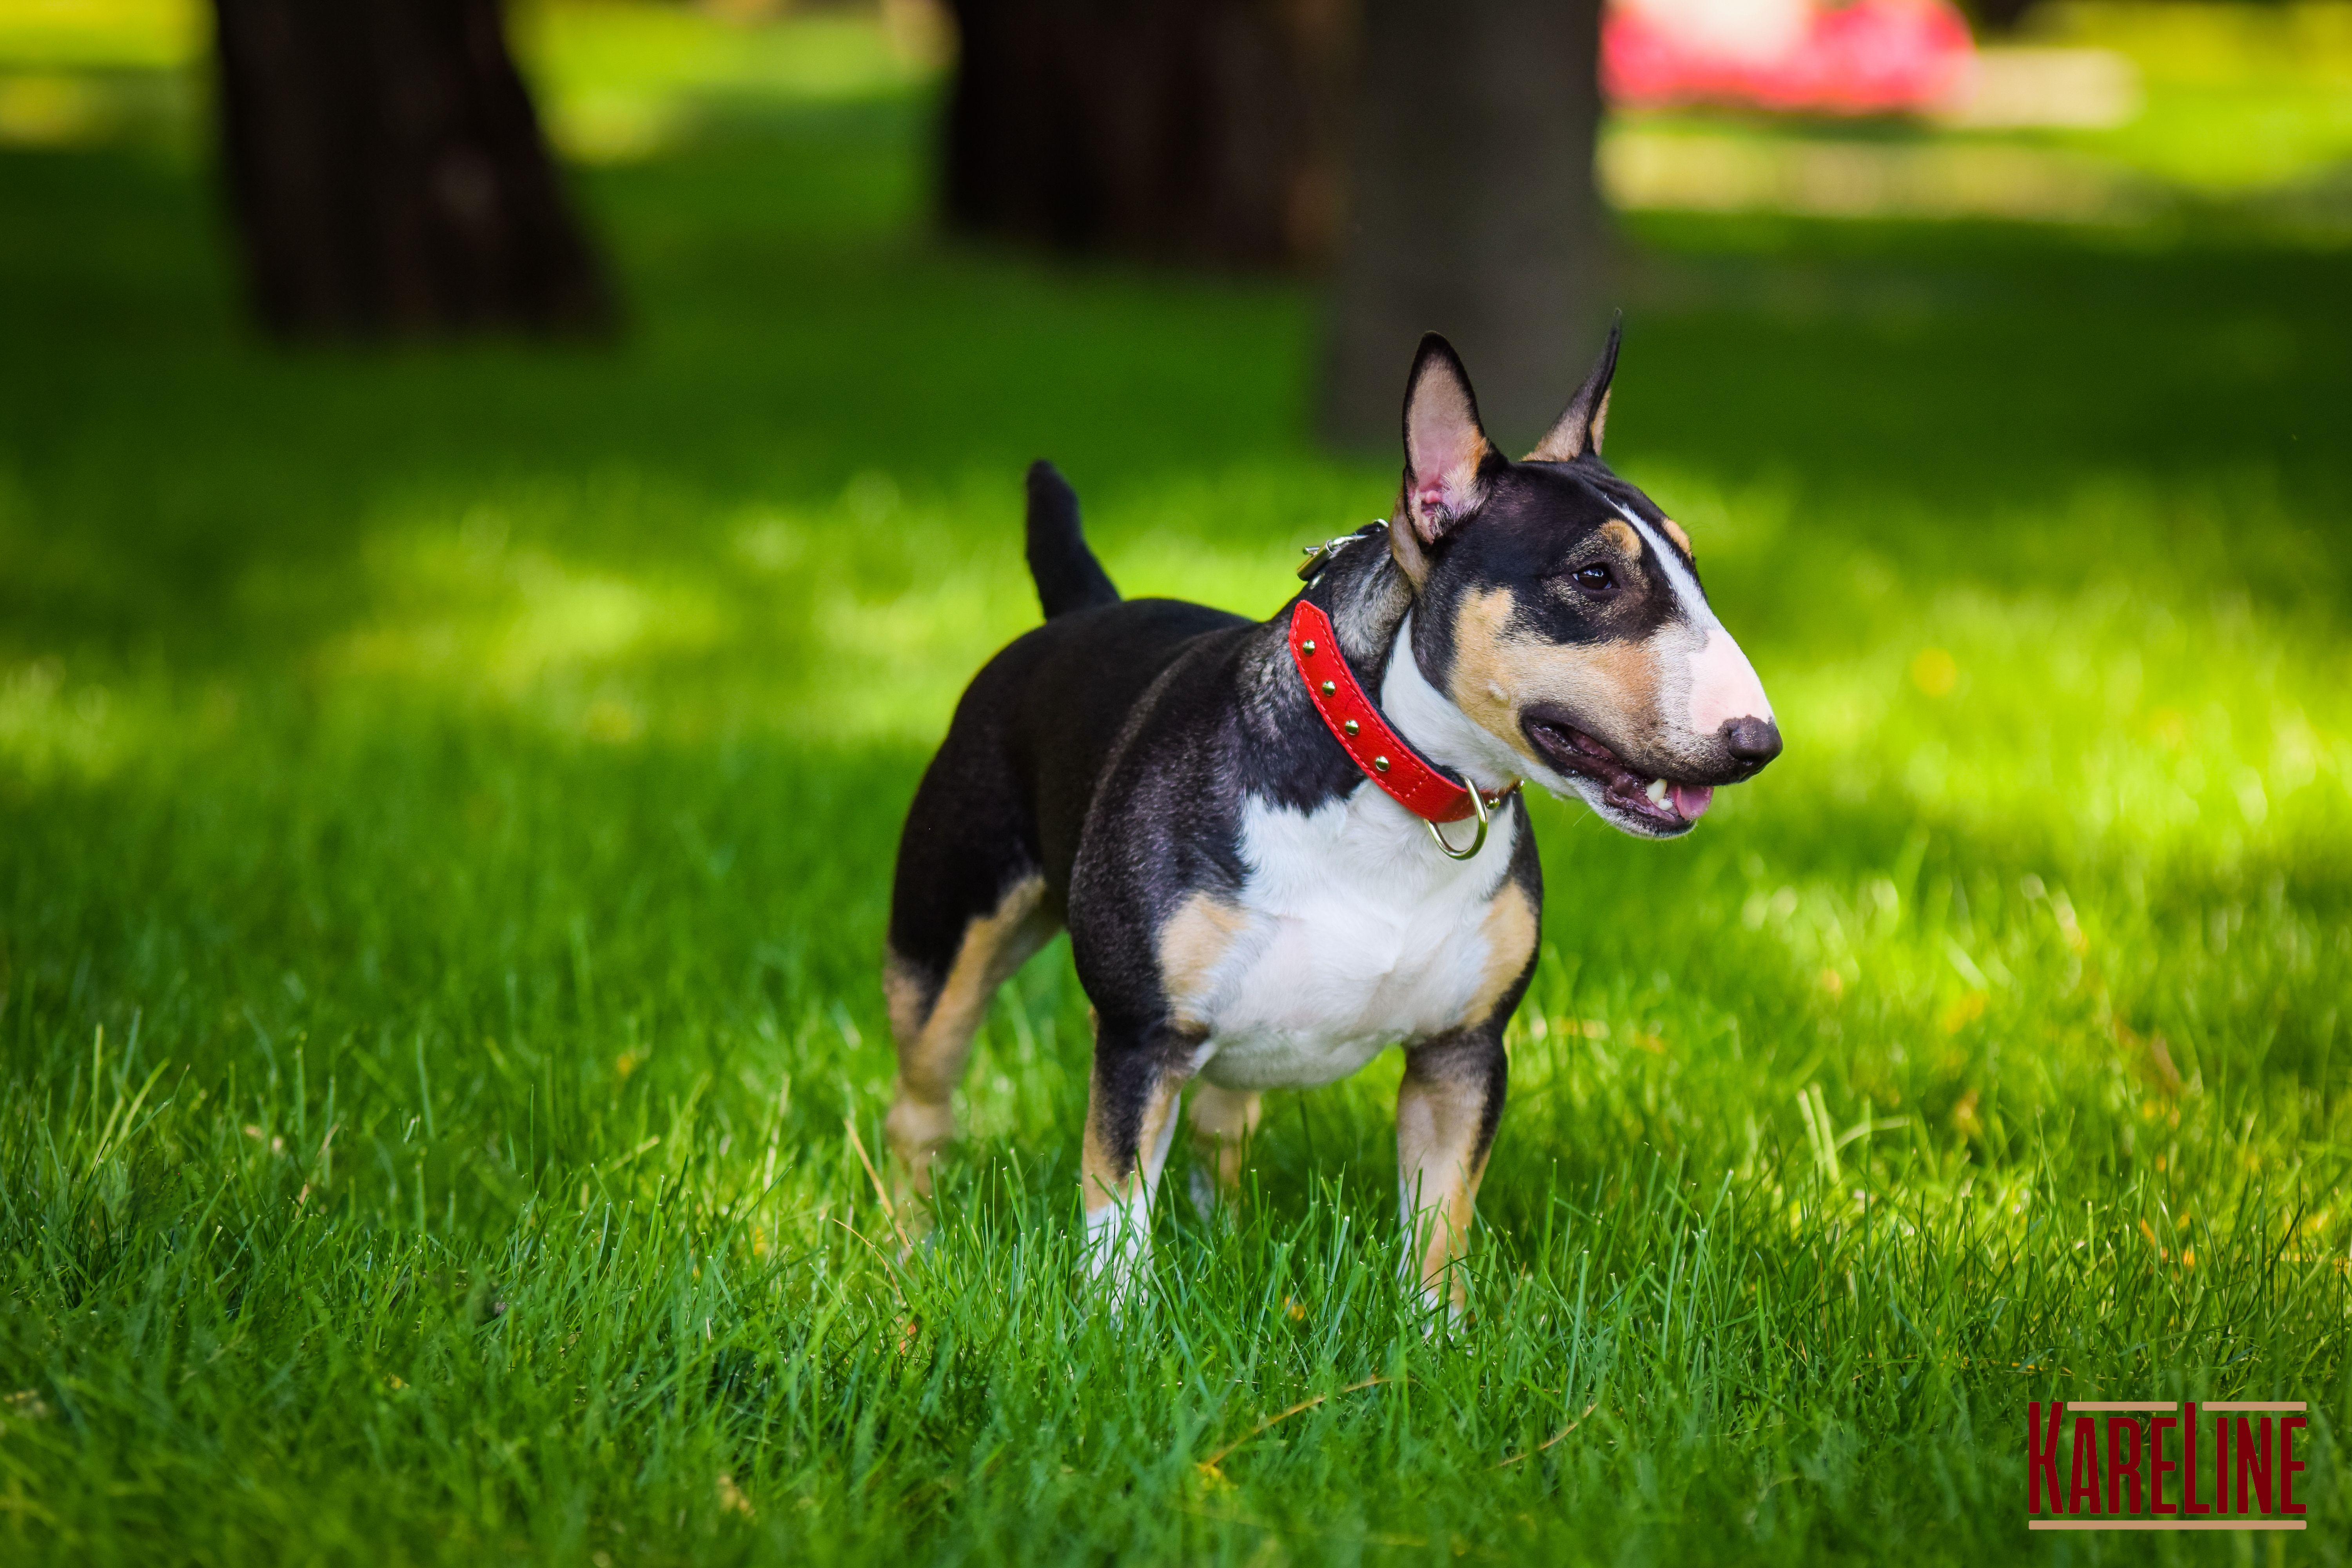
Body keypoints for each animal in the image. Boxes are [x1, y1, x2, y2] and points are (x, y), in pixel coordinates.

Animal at [884, 329, 1778, 1316]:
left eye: (1693, 569)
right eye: (1594, 575)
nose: (1759, 741)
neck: (1393, 781)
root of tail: (1082, 611)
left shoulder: (1462, 1054)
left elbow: (1441, 1224)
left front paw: (1439, 1337)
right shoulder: (1140, 1038)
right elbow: (1116, 1216)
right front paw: (1116, 1329)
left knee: (1221, 1131)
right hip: (945, 940)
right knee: (920, 1106)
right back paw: (908, 1254)